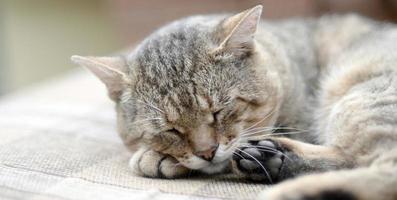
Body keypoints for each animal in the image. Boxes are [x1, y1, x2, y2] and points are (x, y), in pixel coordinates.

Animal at [72, 5, 396, 200]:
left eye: (218, 112)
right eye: (171, 130)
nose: (207, 152)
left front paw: (155, 158)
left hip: (360, 98)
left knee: (382, 172)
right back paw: (273, 158)